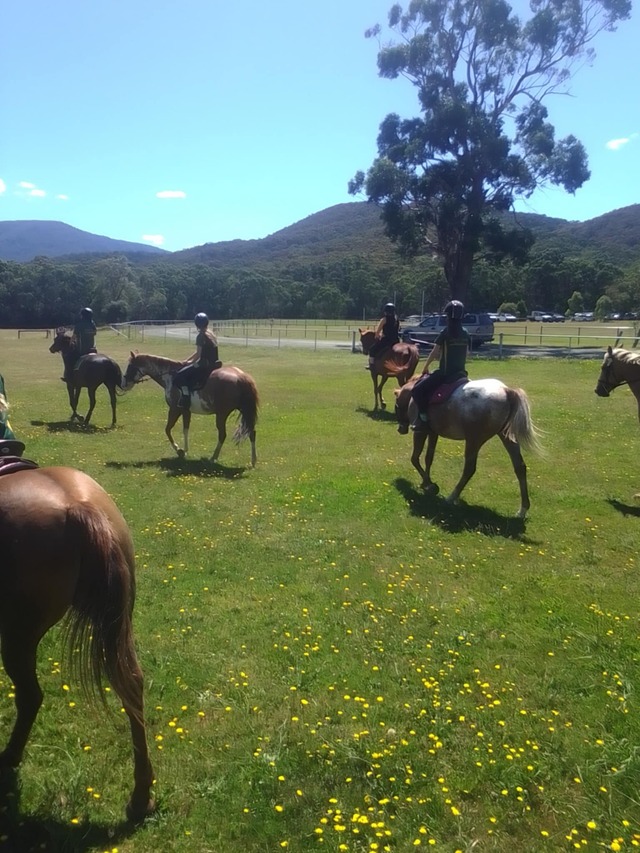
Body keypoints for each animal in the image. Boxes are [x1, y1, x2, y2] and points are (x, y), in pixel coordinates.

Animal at [122, 352, 259, 465]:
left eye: (130, 366)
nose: (124, 384)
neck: (171, 376)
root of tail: (241, 377)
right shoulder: (185, 411)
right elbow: (185, 429)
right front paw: (185, 450)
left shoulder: (175, 410)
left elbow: (167, 429)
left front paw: (179, 450)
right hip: (244, 412)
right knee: (251, 433)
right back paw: (253, 461)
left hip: (221, 415)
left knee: (222, 435)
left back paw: (213, 457)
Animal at [394, 375, 542, 517]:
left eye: (396, 405)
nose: (400, 429)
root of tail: (506, 391)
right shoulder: (433, 433)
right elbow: (428, 458)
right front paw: (426, 482)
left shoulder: (420, 432)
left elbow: (415, 458)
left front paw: (429, 485)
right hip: (506, 437)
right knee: (519, 467)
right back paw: (522, 510)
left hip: (474, 440)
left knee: (469, 469)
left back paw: (451, 497)